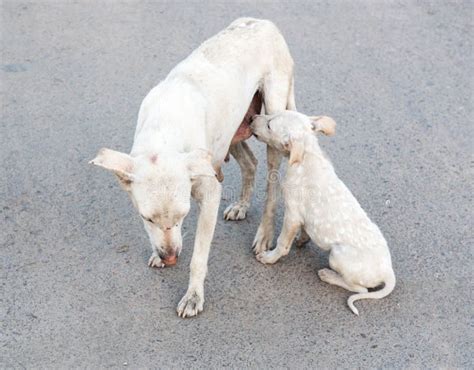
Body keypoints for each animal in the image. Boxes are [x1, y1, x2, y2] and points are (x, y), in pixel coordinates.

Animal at [90, 18, 296, 318]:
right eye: (146, 218)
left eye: (183, 215)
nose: (170, 258)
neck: (163, 133)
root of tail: (264, 22)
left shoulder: (210, 193)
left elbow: (198, 256)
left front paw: (193, 296)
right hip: (230, 131)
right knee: (250, 162)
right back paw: (241, 205)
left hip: (272, 118)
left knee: (271, 183)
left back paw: (264, 234)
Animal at [252, 111, 396, 314]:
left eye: (270, 125)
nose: (251, 118)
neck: (308, 155)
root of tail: (388, 272)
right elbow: (305, 230)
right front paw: (302, 239)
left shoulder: (293, 215)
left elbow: (282, 243)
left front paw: (270, 257)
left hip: (337, 255)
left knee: (360, 289)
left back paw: (328, 275)